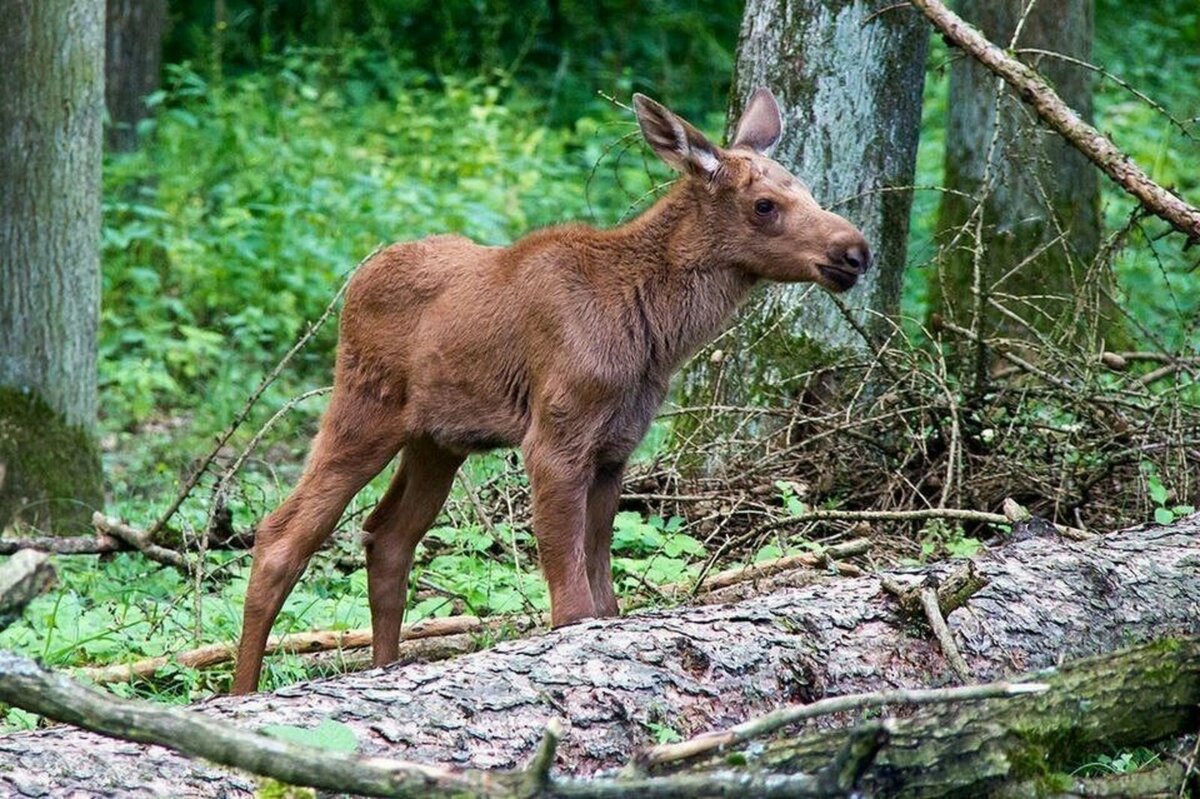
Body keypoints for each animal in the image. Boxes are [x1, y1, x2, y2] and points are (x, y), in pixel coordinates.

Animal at [234, 85, 873, 686]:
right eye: (765, 204)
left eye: (808, 189)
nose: (855, 251)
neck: (654, 333)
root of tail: (355, 283)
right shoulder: (554, 439)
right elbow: (571, 607)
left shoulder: (616, 450)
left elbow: (606, 599)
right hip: (364, 408)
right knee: (281, 537)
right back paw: (241, 693)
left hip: (437, 440)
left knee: (387, 538)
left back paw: (384, 667)